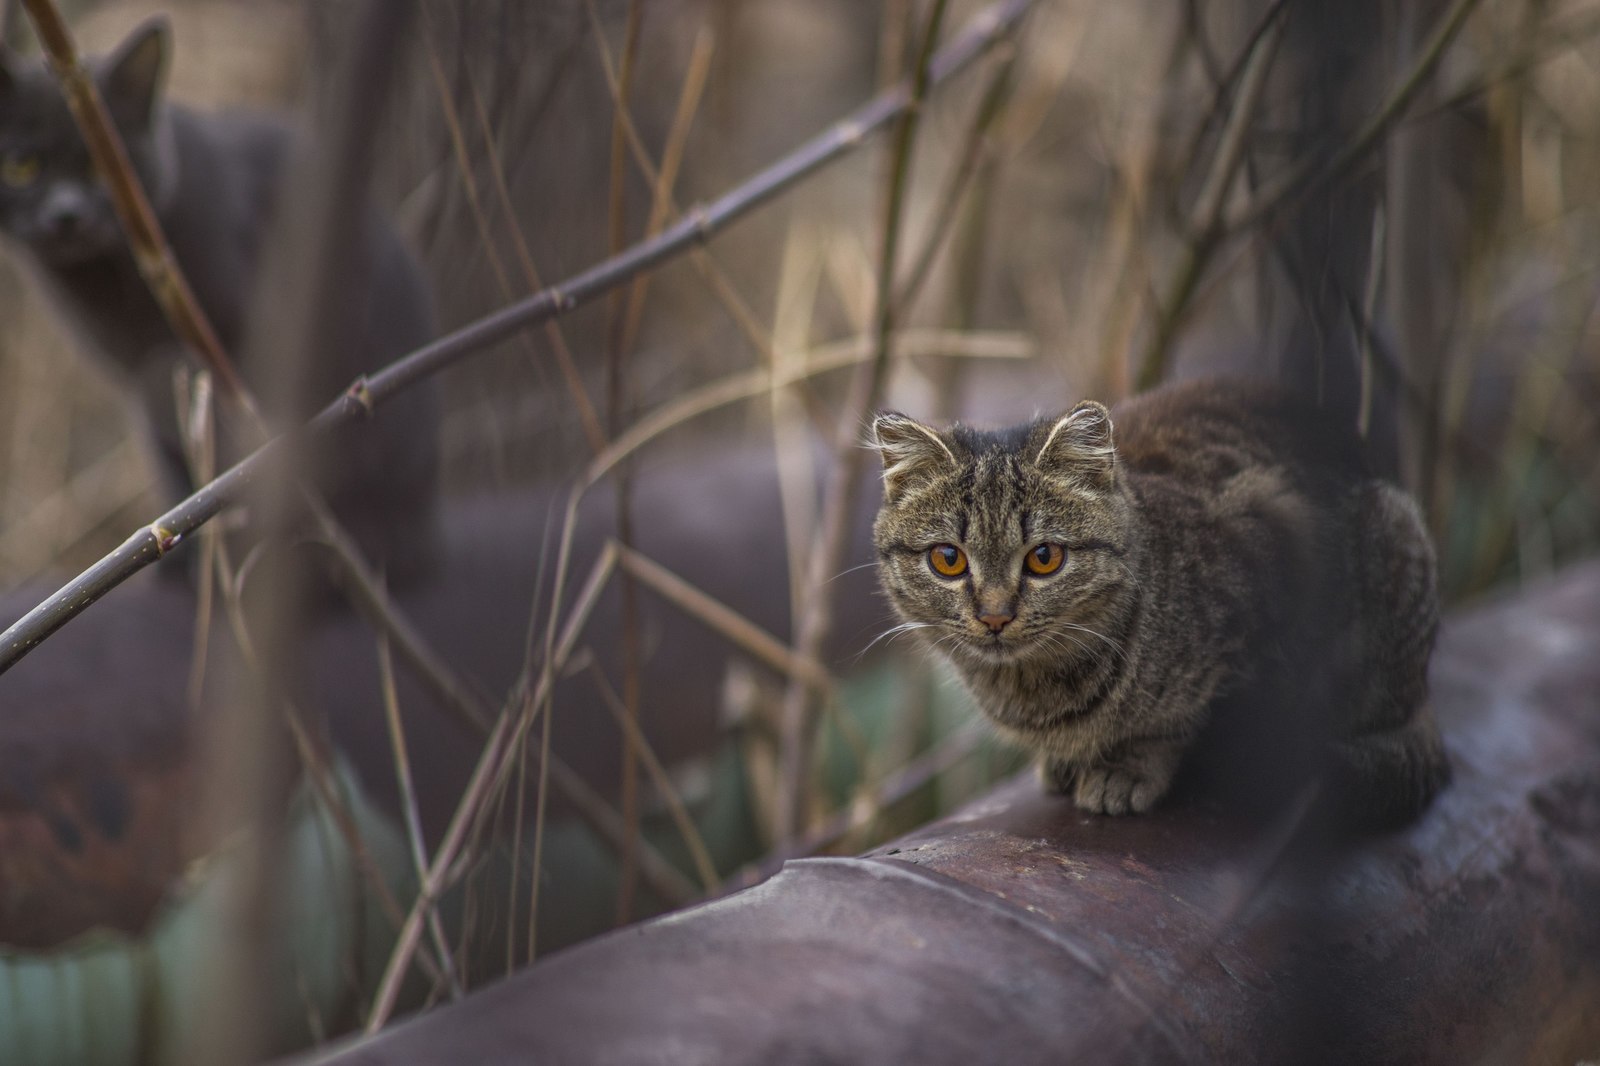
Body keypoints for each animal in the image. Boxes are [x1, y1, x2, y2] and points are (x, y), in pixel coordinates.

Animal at [870, 377, 1459, 825]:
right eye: (949, 558)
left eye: (1044, 558)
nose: (995, 616)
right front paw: (1067, 763)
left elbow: (1177, 724)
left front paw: (1127, 768)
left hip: (1395, 541)